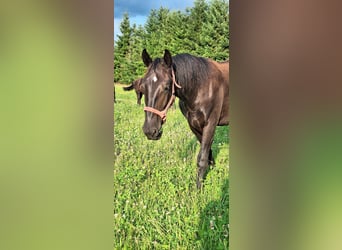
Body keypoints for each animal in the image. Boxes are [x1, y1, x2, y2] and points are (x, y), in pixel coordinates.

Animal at [139, 48, 230, 188]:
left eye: (166, 87)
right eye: (142, 87)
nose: (150, 131)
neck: (200, 86)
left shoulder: (210, 124)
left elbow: (202, 158)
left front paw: (198, 189)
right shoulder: (194, 125)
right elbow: (207, 153)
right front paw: (213, 171)